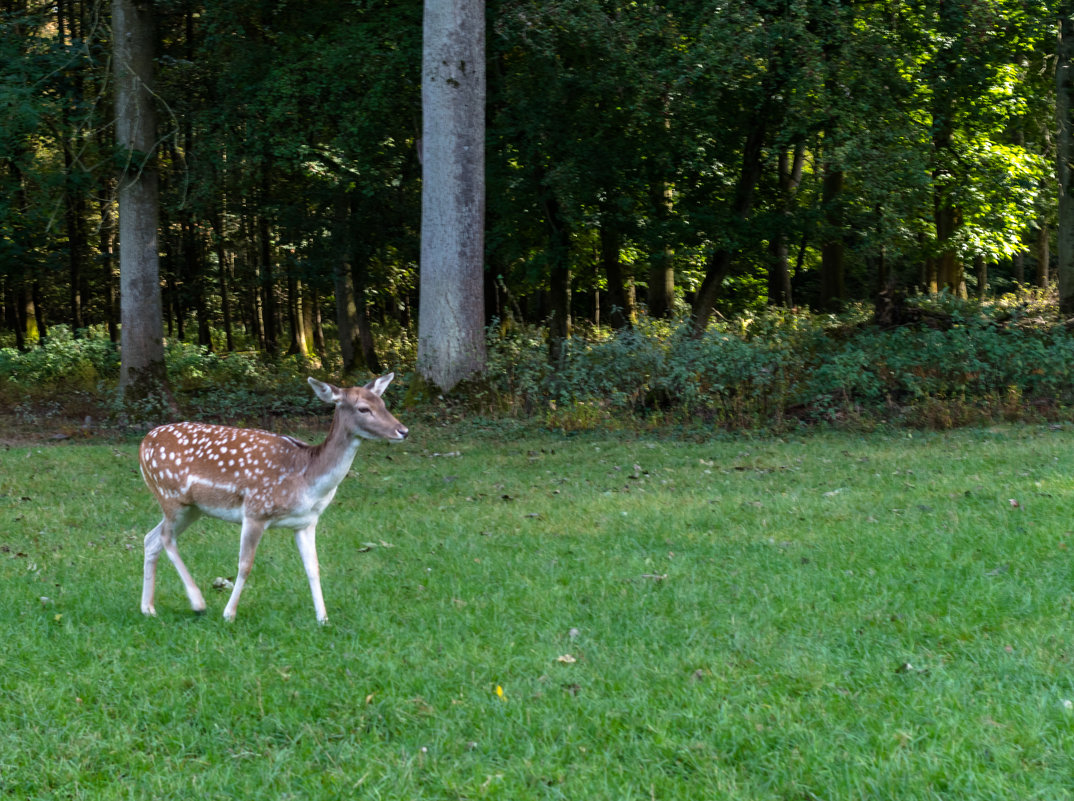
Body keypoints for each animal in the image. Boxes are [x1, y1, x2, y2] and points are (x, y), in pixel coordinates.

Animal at [138, 371, 405, 622]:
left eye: (383, 403)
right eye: (363, 408)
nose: (403, 430)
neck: (307, 479)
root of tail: (143, 443)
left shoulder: (307, 522)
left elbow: (313, 567)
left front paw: (323, 618)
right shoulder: (256, 510)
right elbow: (245, 565)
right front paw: (229, 614)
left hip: (193, 508)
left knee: (151, 538)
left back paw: (148, 608)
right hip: (171, 496)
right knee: (166, 538)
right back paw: (197, 602)